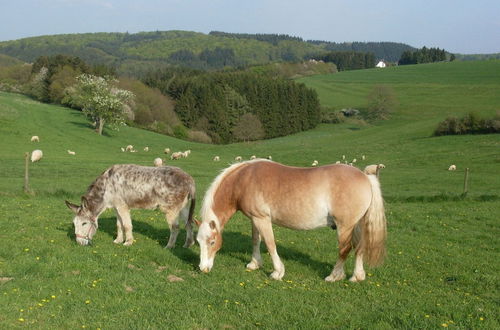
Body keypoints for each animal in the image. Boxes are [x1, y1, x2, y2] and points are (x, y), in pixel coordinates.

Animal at [63, 164, 195, 248]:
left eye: (84, 223)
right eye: (74, 224)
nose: (79, 243)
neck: (106, 187)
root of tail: (190, 179)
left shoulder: (122, 207)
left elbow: (127, 225)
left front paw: (128, 242)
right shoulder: (116, 207)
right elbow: (119, 225)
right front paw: (118, 240)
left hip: (171, 210)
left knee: (175, 227)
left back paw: (169, 246)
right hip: (183, 208)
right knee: (189, 223)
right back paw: (187, 244)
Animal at [196, 159, 386, 282]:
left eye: (212, 242)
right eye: (197, 242)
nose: (203, 268)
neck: (243, 179)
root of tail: (365, 177)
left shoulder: (262, 219)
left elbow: (270, 243)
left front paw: (277, 272)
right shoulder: (255, 219)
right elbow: (256, 240)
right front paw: (254, 264)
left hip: (345, 226)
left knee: (345, 249)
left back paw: (334, 276)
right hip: (357, 225)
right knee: (359, 248)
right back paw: (356, 276)